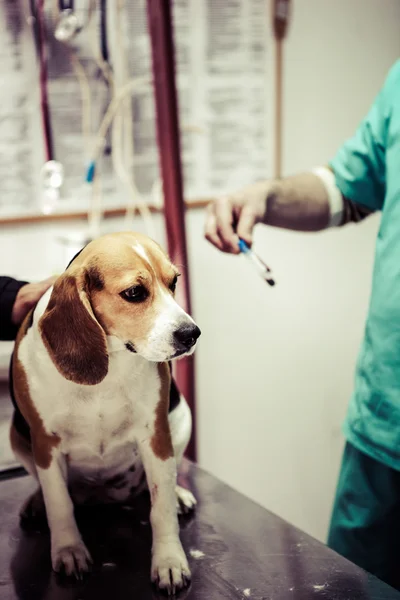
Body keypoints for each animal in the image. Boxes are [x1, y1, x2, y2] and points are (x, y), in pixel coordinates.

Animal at [9, 232, 202, 592]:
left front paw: (169, 560)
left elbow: (161, 509)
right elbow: (60, 504)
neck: (111, 357)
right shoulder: (44, 442)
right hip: (17, 436)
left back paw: (179, 493)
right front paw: (69, 551)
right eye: (134, 293)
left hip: (182, 419)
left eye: (174, 282)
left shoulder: (156, 435)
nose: (191, 334)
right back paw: (37, 503)